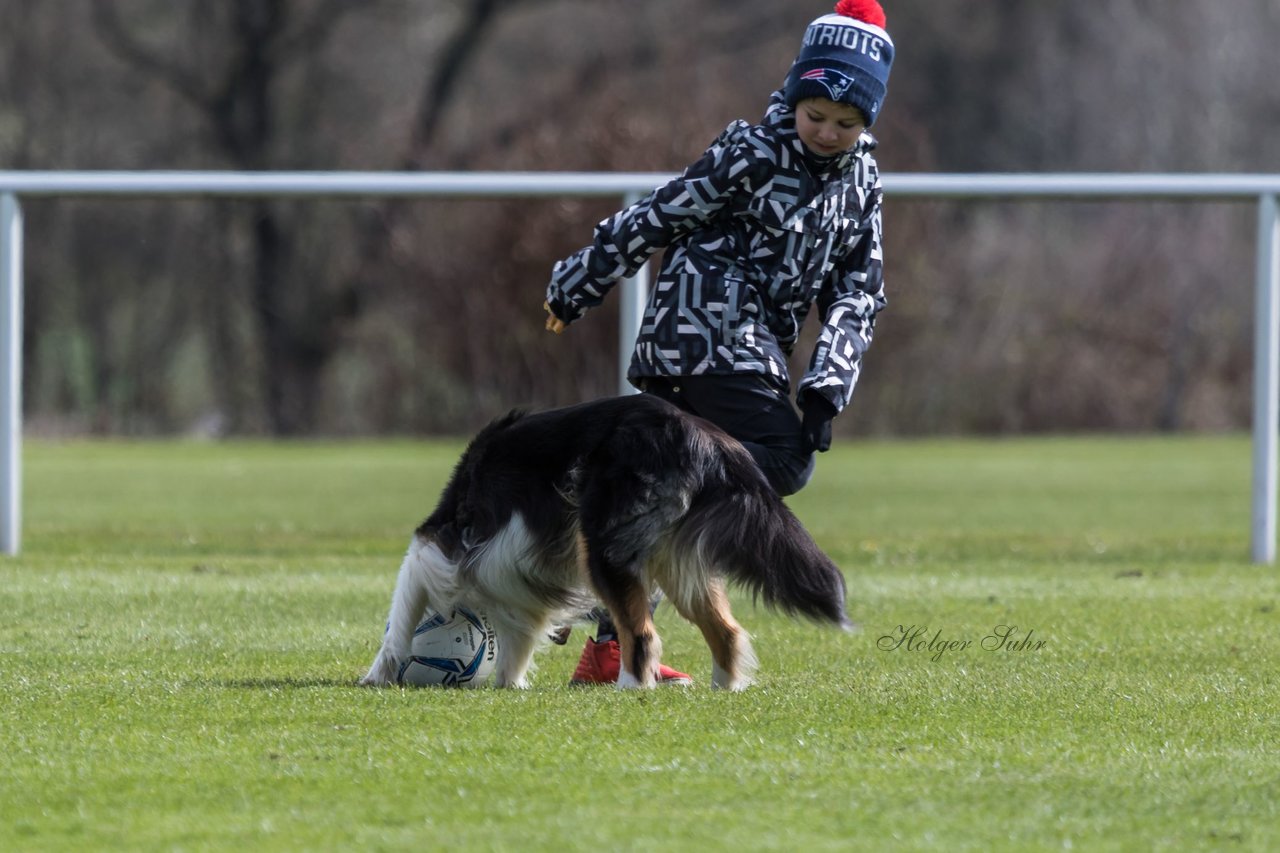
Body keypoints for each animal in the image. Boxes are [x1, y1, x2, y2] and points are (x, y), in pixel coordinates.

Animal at [360, 394, 849, 686]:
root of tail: (709, 441)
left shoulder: (435, 547)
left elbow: (400, 622)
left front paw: (376, 675)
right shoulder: (517, 591)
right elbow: (517, 640)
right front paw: (509, 685)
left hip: (605, 546)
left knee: (642, 634)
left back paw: (631, 689)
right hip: (676, 562)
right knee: (726, 631)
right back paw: (724, 690)